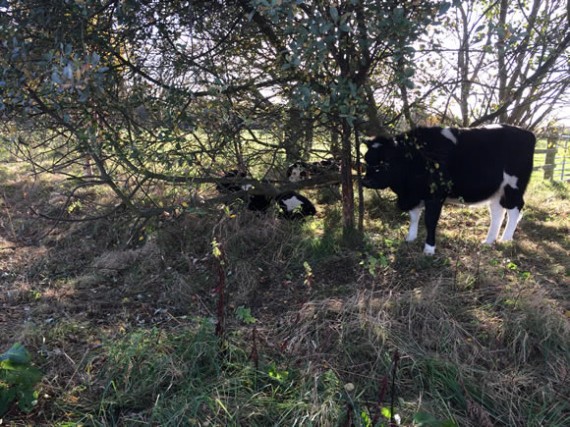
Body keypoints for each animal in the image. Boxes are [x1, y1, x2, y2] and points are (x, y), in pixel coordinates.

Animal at [362, 125, 536, 256]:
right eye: (366, 160)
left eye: (385, 161)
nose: (365, 181)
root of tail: (528, 133)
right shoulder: (415, 195)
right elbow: (414, 217)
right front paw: (410, 238)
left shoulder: (435, 195)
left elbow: (430, 221)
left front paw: (429, 249)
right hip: (497, 191)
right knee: (497, 212)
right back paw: (488, 241)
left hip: (513, 187)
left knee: (515, 210)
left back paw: (505, 240)